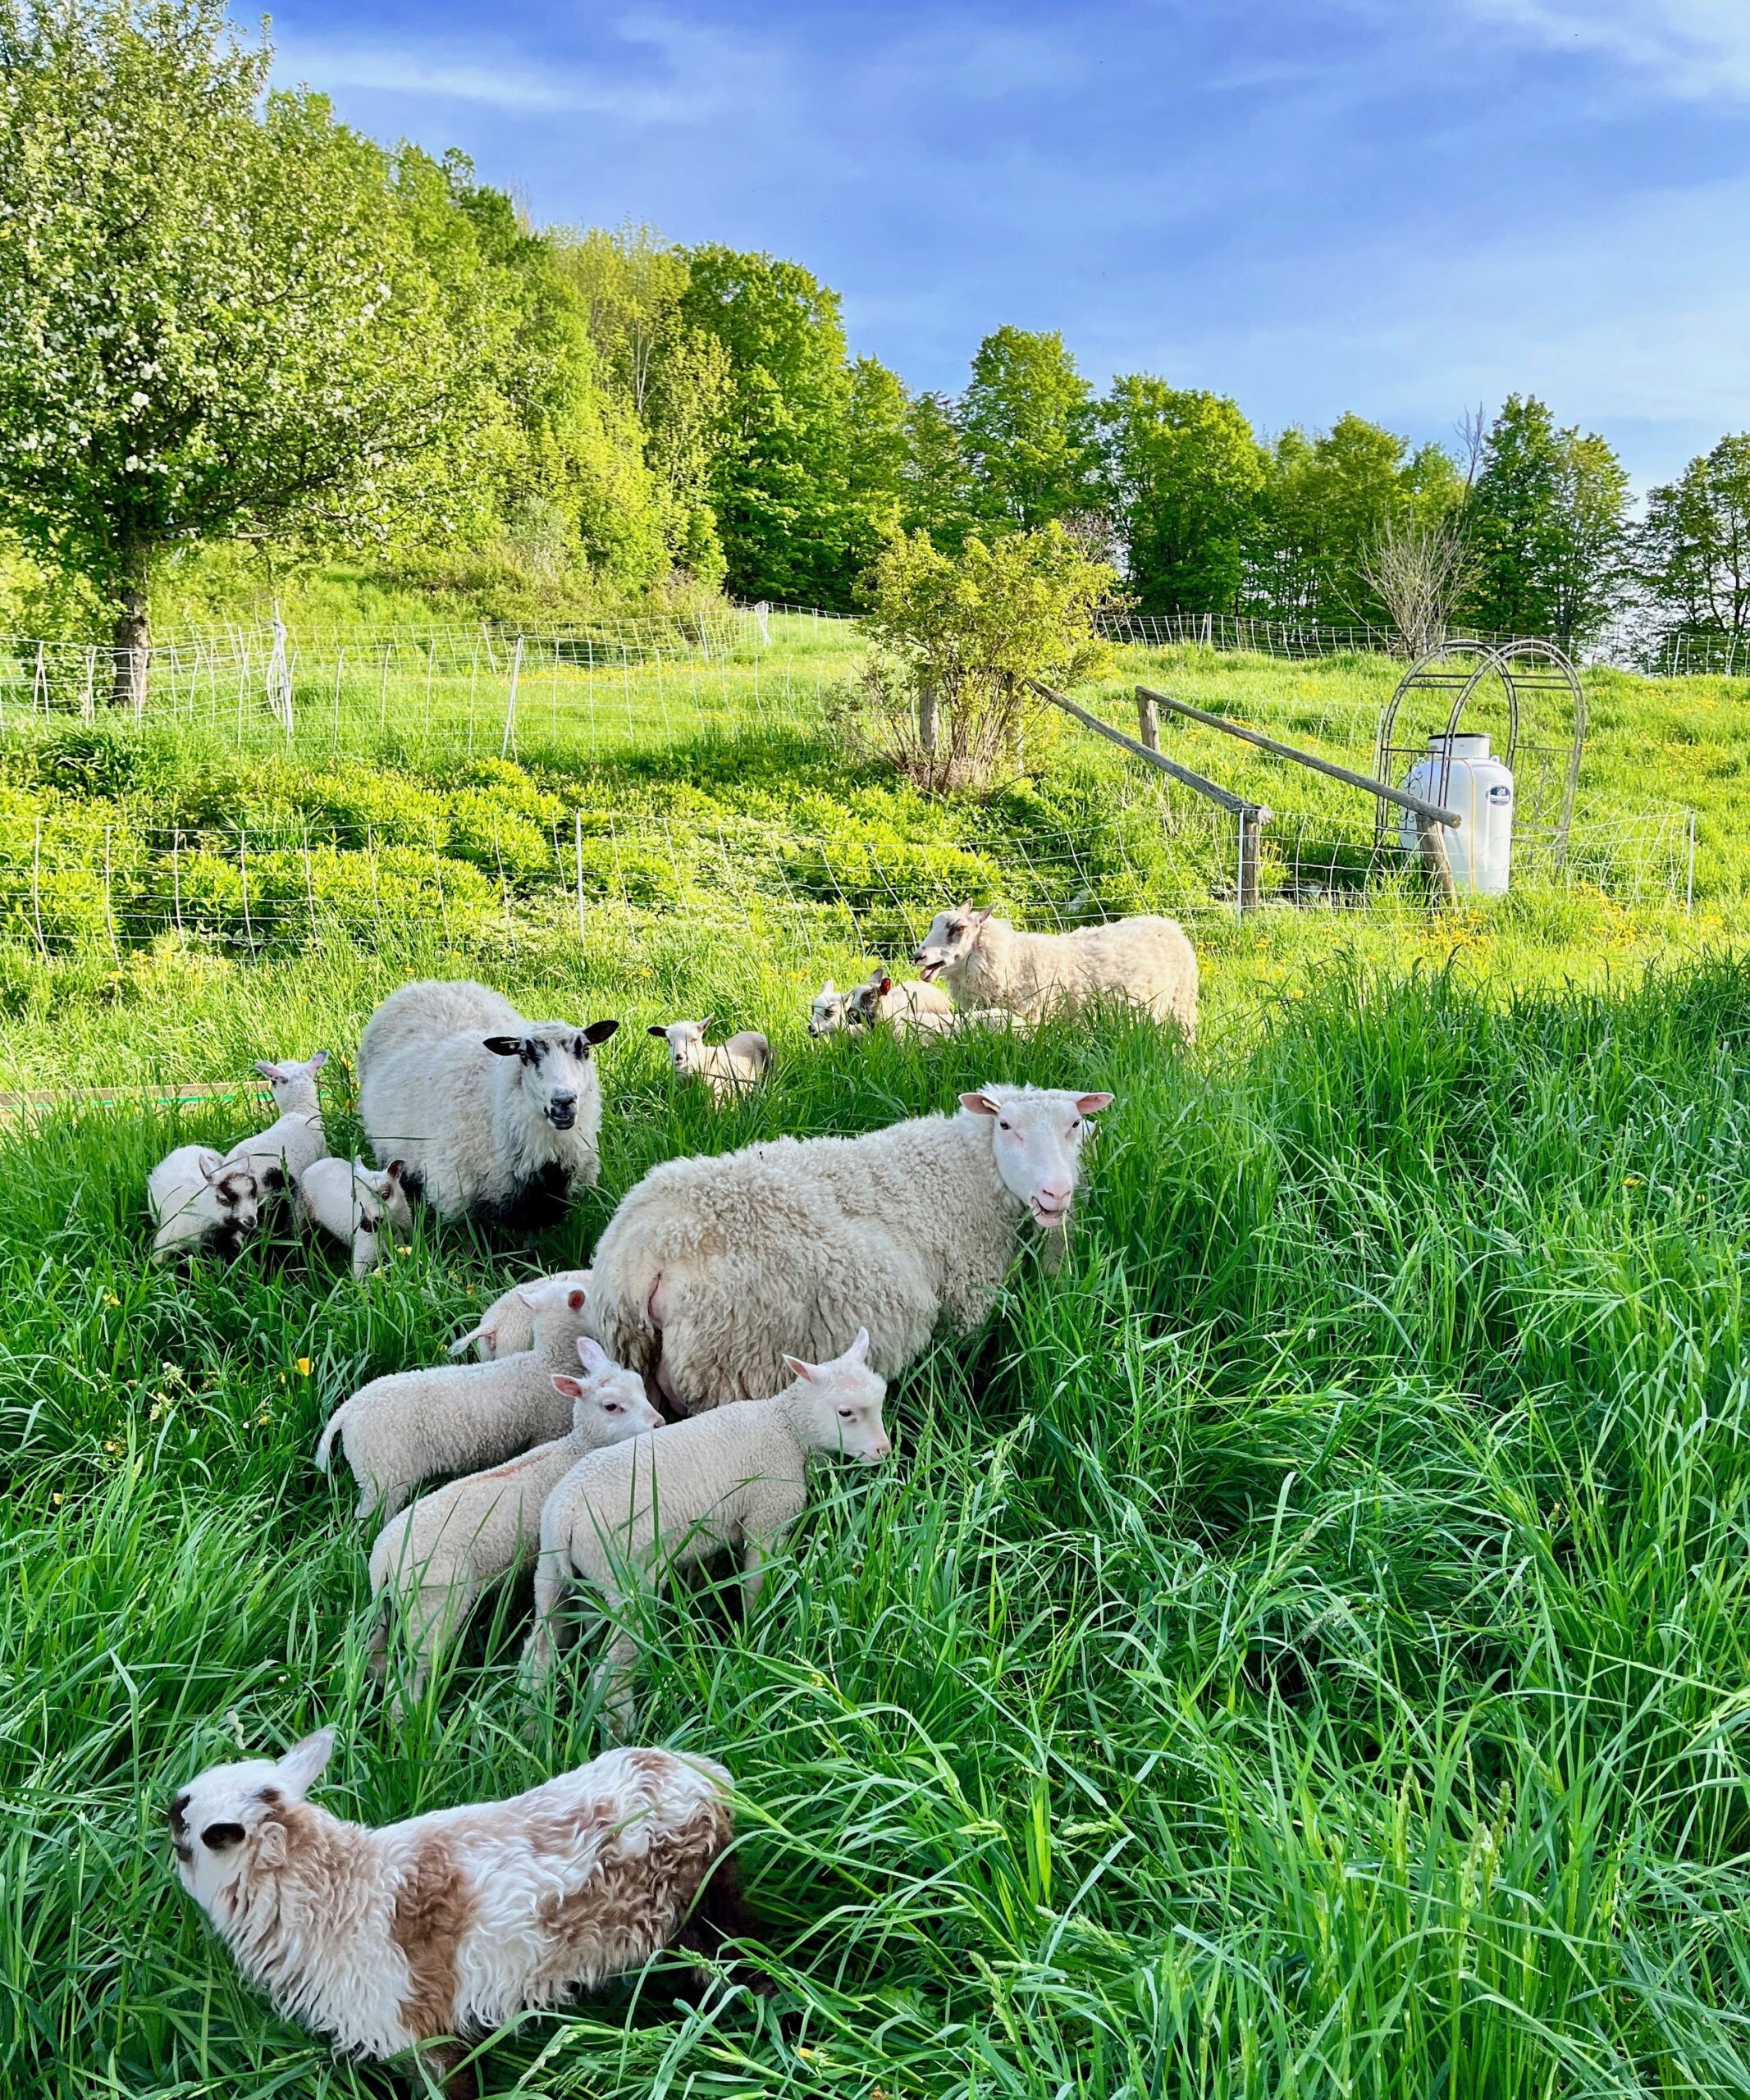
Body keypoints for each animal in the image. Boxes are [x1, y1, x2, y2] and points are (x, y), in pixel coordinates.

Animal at [166, 1727, 747, 2100]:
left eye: (184, 1833)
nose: (167, 1805)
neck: (336, 1894)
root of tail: (706, 1777)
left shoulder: (422, 2029)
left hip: (705, 1910)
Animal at [296, 1157, 413, 1279]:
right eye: (357, 1199)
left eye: (384, 1194)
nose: (364, 1226)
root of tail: (319, 1162)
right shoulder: (364, 1254)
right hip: (301, 1211)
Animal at [369, 1340, 664, 1709]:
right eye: (611, 1406)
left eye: (640, 1386)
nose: (659, 1423)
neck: (577, 1448)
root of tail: (383, 1561)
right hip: (433, 1606)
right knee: (413, 1671)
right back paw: (408, 1715)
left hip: (388, 1608)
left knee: (376, 1654)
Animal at [524, 1331, 888, 1720]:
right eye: (845, 1412)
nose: (884, 1450)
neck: (785, 1428)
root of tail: (566, 1513)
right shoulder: (766, 1519)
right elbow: (756, 1584)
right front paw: (755, 1632)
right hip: (627, 1579)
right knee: (611, 1674)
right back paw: (626, 1725)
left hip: (550, 1572)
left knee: (537, 1654)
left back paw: (532, 1718)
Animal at [585, 1085, 1113, 1413]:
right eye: (1005, 1126)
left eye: (1074, 1125)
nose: (1056, 1194)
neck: (961, 1168)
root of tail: (649, 1251)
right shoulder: (967, 1303)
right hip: (736, 1366)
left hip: (637, 1357)